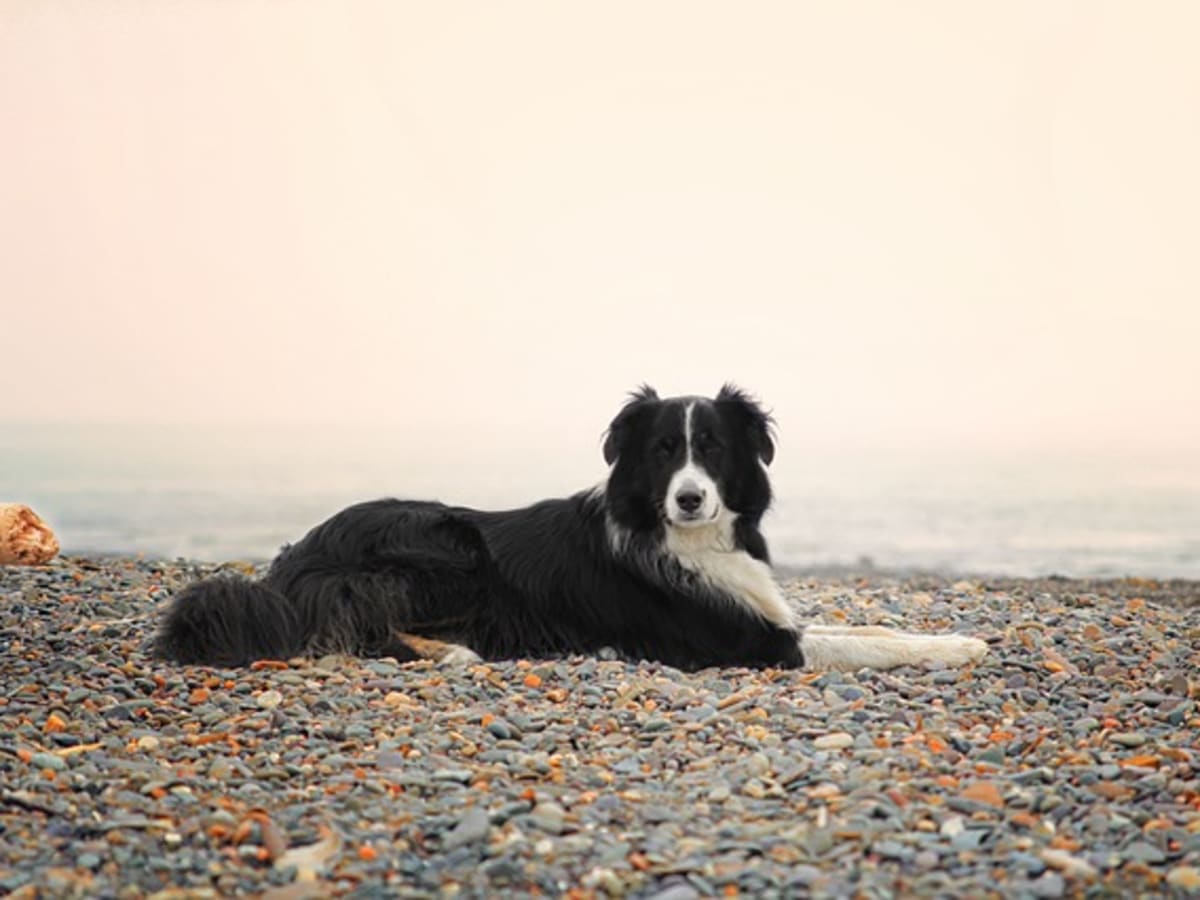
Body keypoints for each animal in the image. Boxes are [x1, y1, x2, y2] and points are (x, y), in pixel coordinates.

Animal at [157, 384, 984, 672]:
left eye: (713, 449)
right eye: (663, 451)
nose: (690, 500)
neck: (679, 538)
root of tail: (292, 561)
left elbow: (873, 628)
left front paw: (959, 637)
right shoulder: (747, 642)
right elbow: (860, 645)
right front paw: (958, 652)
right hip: (445, 545)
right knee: (356, 629)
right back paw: (452, 652)